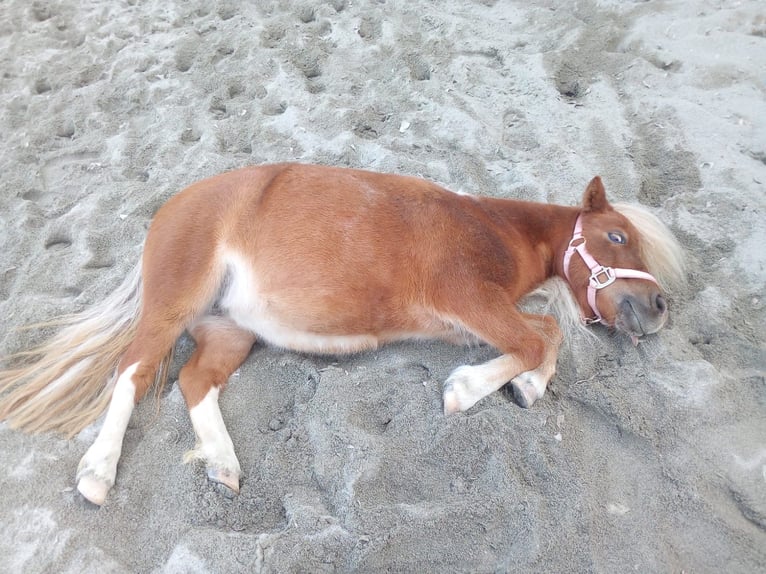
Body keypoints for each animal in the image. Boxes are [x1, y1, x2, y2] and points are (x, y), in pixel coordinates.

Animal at [0, 163, 685, 506]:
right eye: (616, 236)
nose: (659, 305)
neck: (488, 227)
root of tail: (170, 208)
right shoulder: (469, 300)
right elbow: (539, 336)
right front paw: (466, 390)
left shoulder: (469, 320)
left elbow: (543, 332)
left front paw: (529, 387)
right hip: (174, 304)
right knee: (134, 370)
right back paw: (98, 472)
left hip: (229, 331)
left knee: (193, 382)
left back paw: (222, 462)